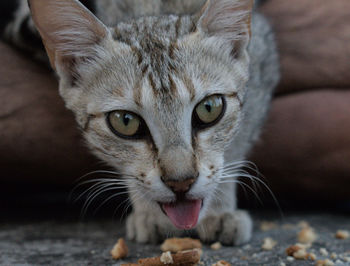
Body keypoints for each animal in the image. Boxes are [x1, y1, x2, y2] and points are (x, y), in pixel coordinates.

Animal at [0, 0, 278, 245]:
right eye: (125, 122)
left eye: (209, 108)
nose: (181, 182)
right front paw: (148, 211)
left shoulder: (261, 74)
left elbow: (235, 150)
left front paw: (221, 209)